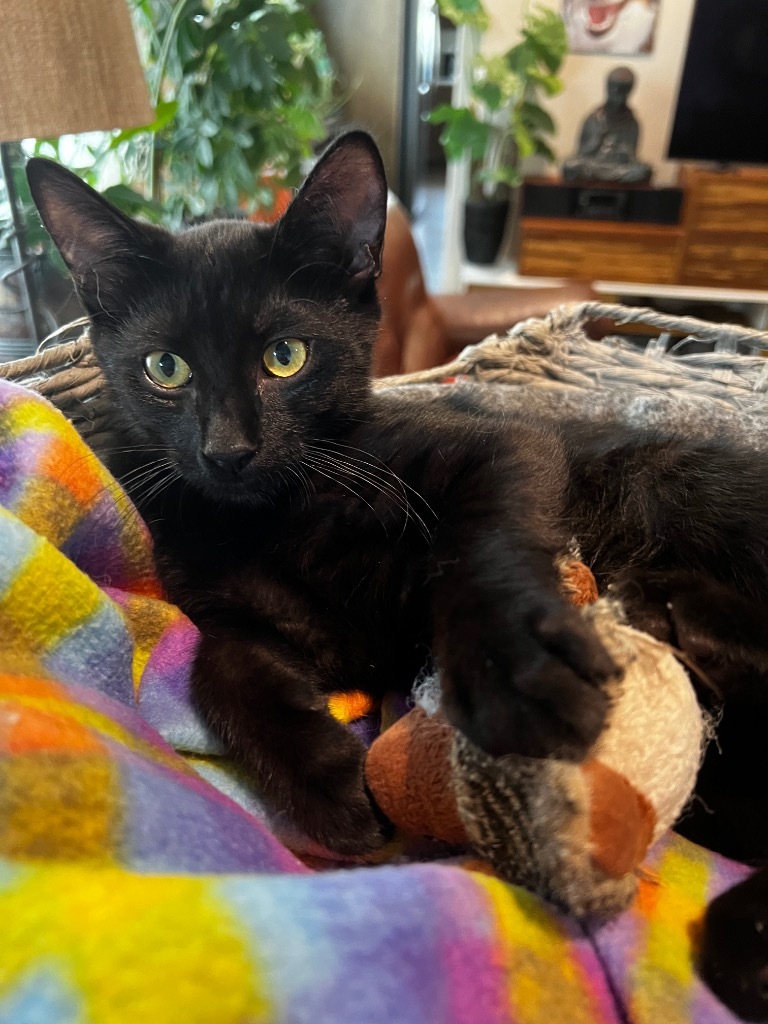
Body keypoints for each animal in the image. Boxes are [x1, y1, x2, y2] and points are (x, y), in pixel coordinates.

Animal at [27, 132, 768, 860]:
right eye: (165, 368)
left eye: (285, 357)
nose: (228, 451)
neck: (277, 516)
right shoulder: (242, 613)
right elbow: (216, 666)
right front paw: (325, 780)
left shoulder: (507, 446)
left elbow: (481, 548)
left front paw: (515, 673)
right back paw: (666, 611)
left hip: (675, 482)